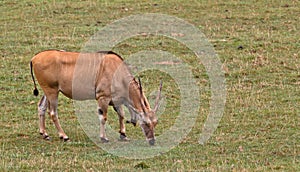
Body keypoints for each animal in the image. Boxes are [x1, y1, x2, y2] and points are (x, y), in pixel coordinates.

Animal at [30, 49, 162, 145]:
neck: (117, 71)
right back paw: (64, 136)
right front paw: (104, 138)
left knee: (41, 107)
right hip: (52, 92)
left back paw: (44, 134)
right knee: (53, 113)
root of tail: (34, 58)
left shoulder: (116, 100)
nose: (152, 141)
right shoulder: (103, 98)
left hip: (49, 91)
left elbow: (121, 115)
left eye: (155, 123)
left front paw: (123, 135)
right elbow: (103, 118)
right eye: (145, 123)